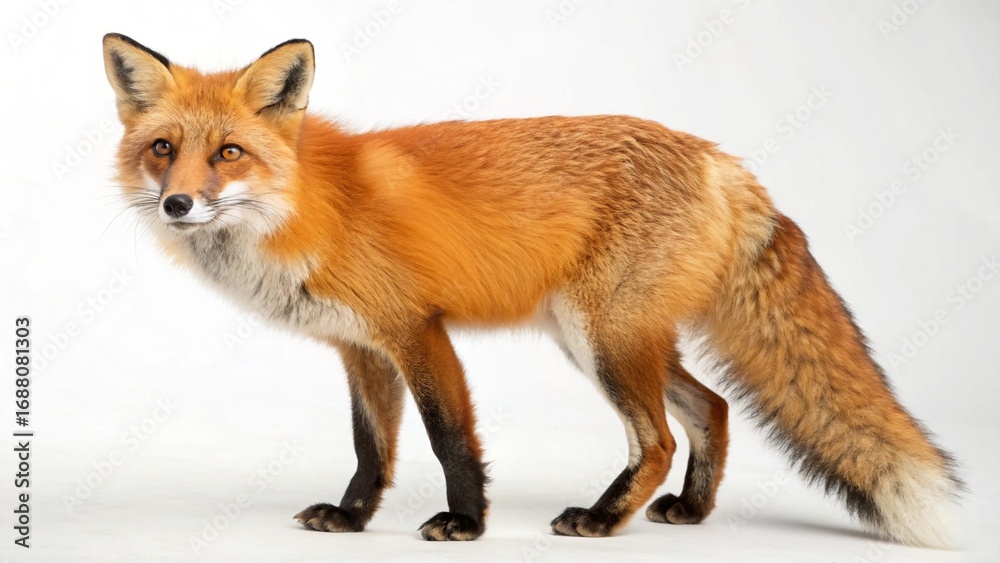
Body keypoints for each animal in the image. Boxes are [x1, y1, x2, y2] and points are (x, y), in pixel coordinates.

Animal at [102, 33, 962, 546]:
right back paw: (690, 510)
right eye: (164, 150)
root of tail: (720, 159)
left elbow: (450, 437)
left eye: (230, 153)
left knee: (658, 437)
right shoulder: (360, 348)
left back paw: (604, 517)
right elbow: (371, 447)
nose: (178, 204)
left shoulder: (417, 330)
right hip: (615, 339)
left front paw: (464, 520)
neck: (308, 206)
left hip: (603, 339)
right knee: (713, 408)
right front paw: (351, 515)